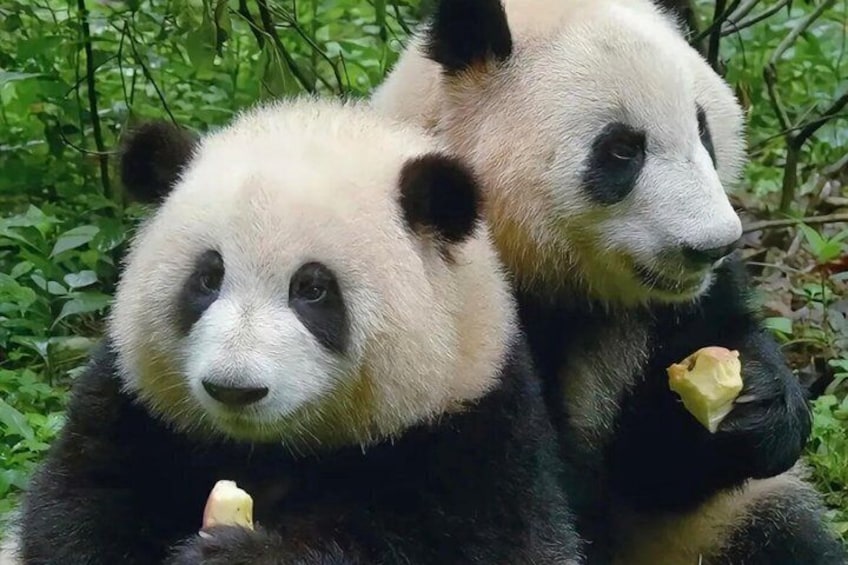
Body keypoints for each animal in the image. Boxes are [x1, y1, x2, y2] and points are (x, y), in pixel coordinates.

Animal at [4, 98, 583, 564]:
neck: (270, 449)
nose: (234, 389)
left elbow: (449, 542)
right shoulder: (133, 404)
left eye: (312, 289)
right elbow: (74, 505)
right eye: (207, 277)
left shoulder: (474, 429)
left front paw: (233, 555)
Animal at [371, 0, 848, 563]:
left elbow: (654, 463)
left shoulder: (677, 308)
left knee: (780, 530)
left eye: (704, 129)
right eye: (622, 149)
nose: (712, 246)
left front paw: (756, 399)